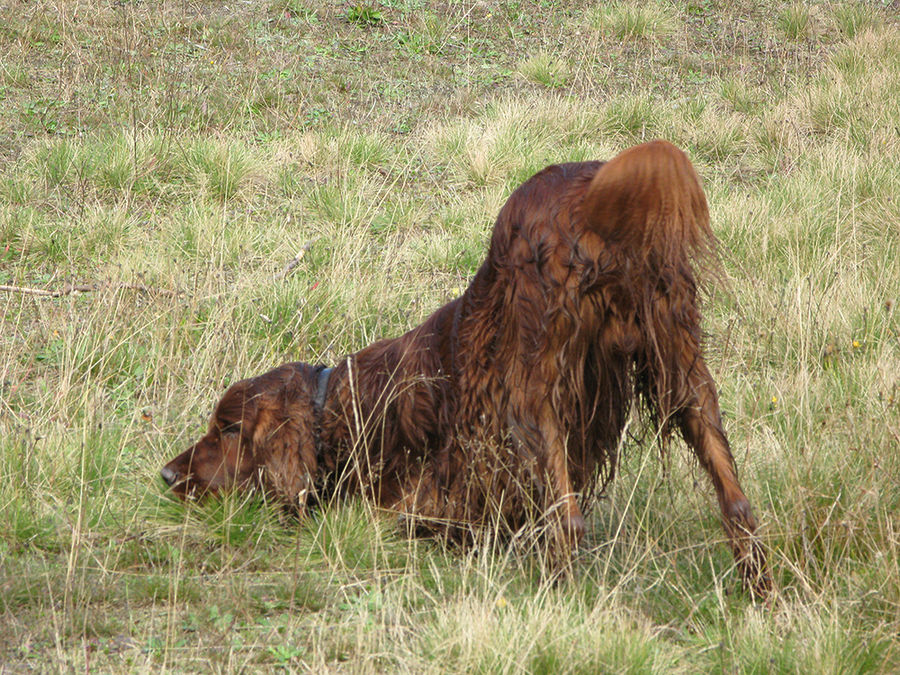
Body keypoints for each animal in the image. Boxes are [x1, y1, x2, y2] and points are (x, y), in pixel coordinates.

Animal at [162, 140, 768, 596]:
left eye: (229, 430)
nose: (166, 475)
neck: (342, 408)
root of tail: (594, 192)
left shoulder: (414, 507)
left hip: (533, 398)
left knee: (568, 521)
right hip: (683, 372)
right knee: (736, 501)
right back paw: (758, 591)